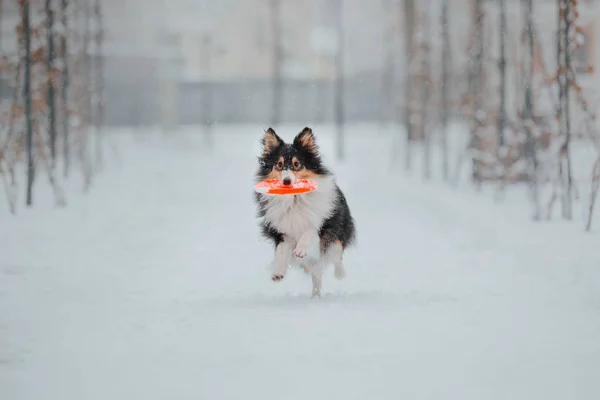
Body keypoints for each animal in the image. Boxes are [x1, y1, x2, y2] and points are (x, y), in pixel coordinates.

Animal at [252, 126, 354, 298]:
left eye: (297, 164)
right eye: (279, 164)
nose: (286, 182)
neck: (294, 199)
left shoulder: (322, 222)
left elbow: (309, 231)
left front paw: (301, 249)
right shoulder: (281, 230)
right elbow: (281, 250)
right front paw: (277, 273)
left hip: (337, 232)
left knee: (336, 254)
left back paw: (340, 274)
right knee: (316, 272)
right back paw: (316, 296)